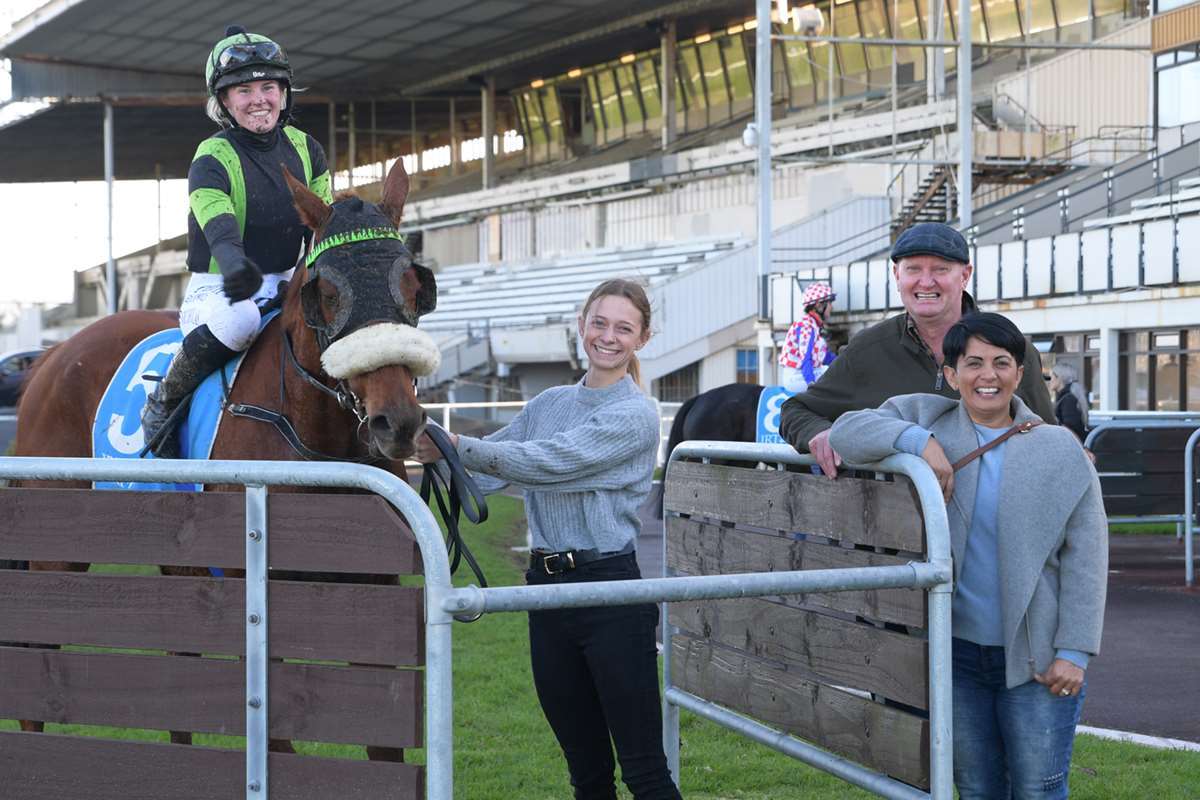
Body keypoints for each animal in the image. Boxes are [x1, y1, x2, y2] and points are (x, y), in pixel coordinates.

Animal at [11, 158, 434, 762]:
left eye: (413, 285)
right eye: (326, 291)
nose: (395, 421)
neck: (313, 439)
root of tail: (50, 357)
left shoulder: (376, 586)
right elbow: (277, 738)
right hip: (56, 549)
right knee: (36, 649)